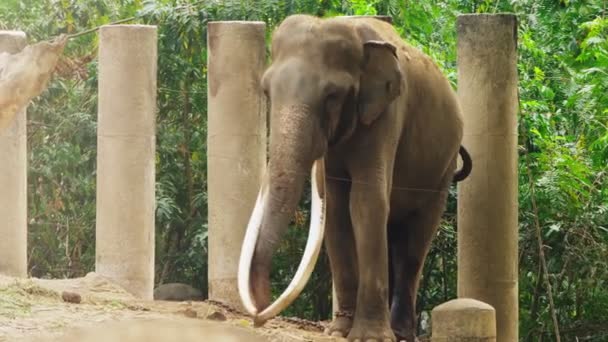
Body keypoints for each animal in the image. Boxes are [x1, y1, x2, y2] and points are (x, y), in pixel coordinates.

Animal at [236, 14, 470, 342]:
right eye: (267, 92)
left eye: (332, 96)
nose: (258, 317)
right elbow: (336, 210)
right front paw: (339, 331)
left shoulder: (387, 115)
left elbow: (366, 202)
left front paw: (369, 337)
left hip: (443, 169)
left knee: (414, 243)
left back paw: (400, 332)